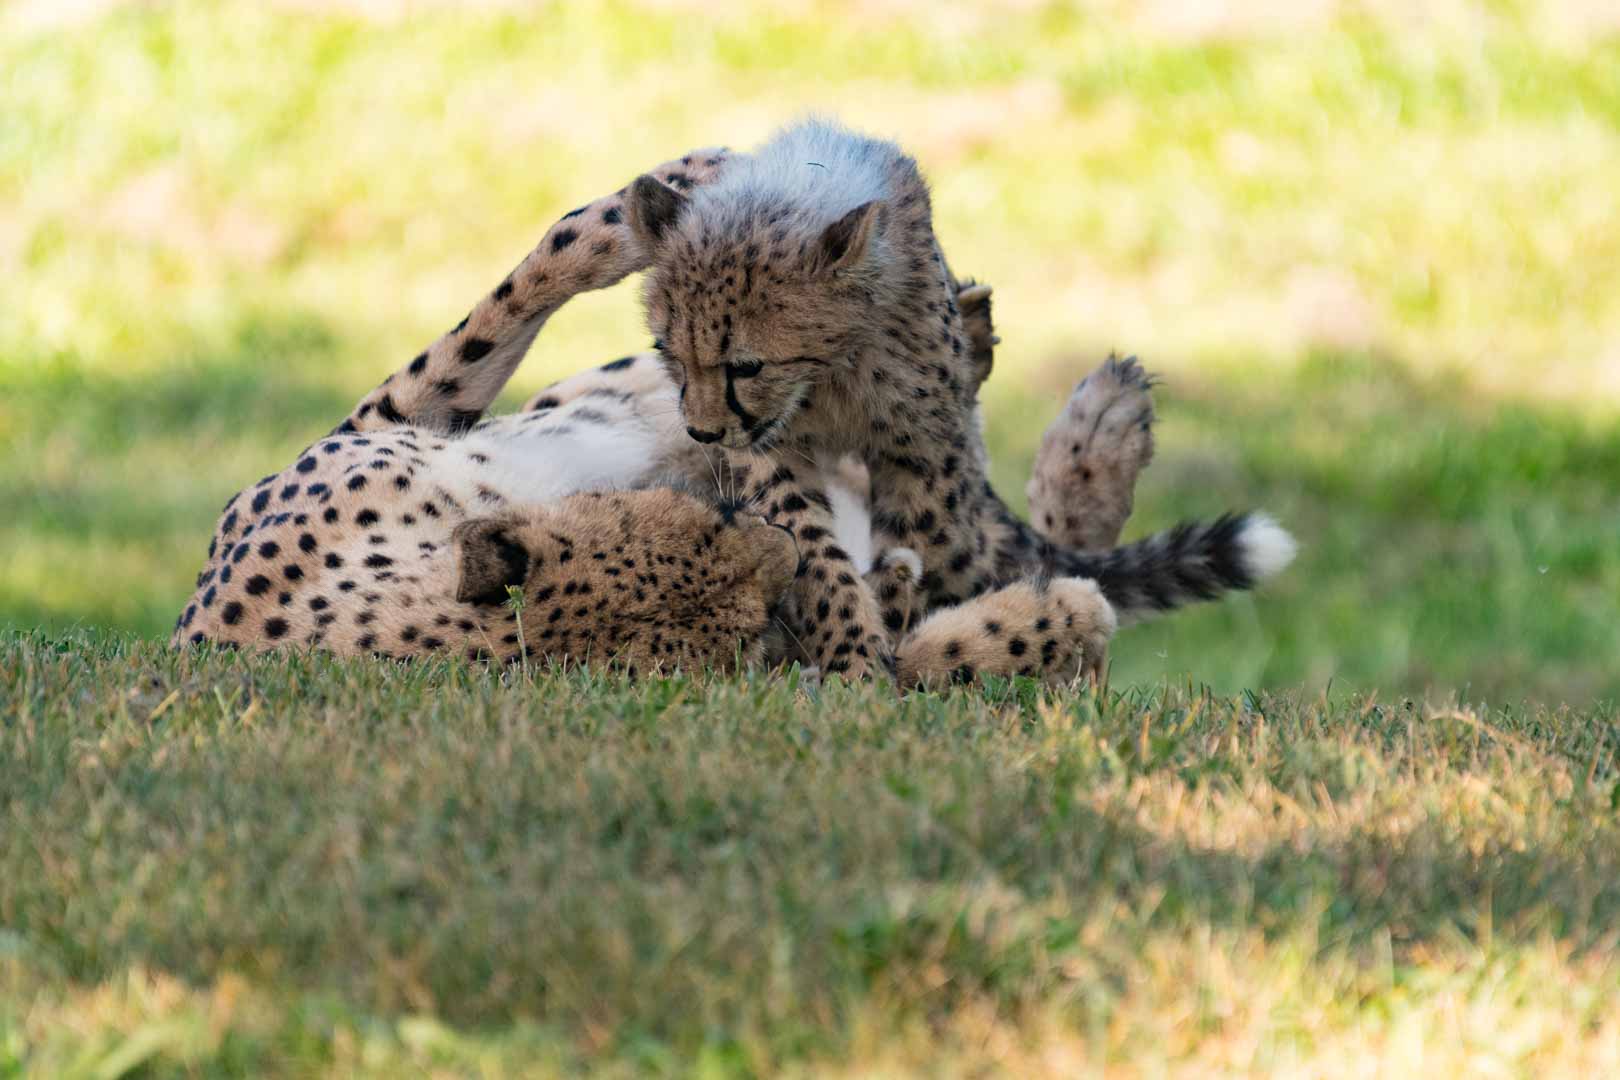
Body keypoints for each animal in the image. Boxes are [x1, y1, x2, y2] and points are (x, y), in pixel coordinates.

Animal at [623, 116, 1295, 680]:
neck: (830, 379)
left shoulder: (923, 447)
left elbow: (927, 543)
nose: (703, 431)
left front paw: (901, 644)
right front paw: (854, 652)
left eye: (747, 365)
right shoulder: (773, 451)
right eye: (668, 351)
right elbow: (813, 550)